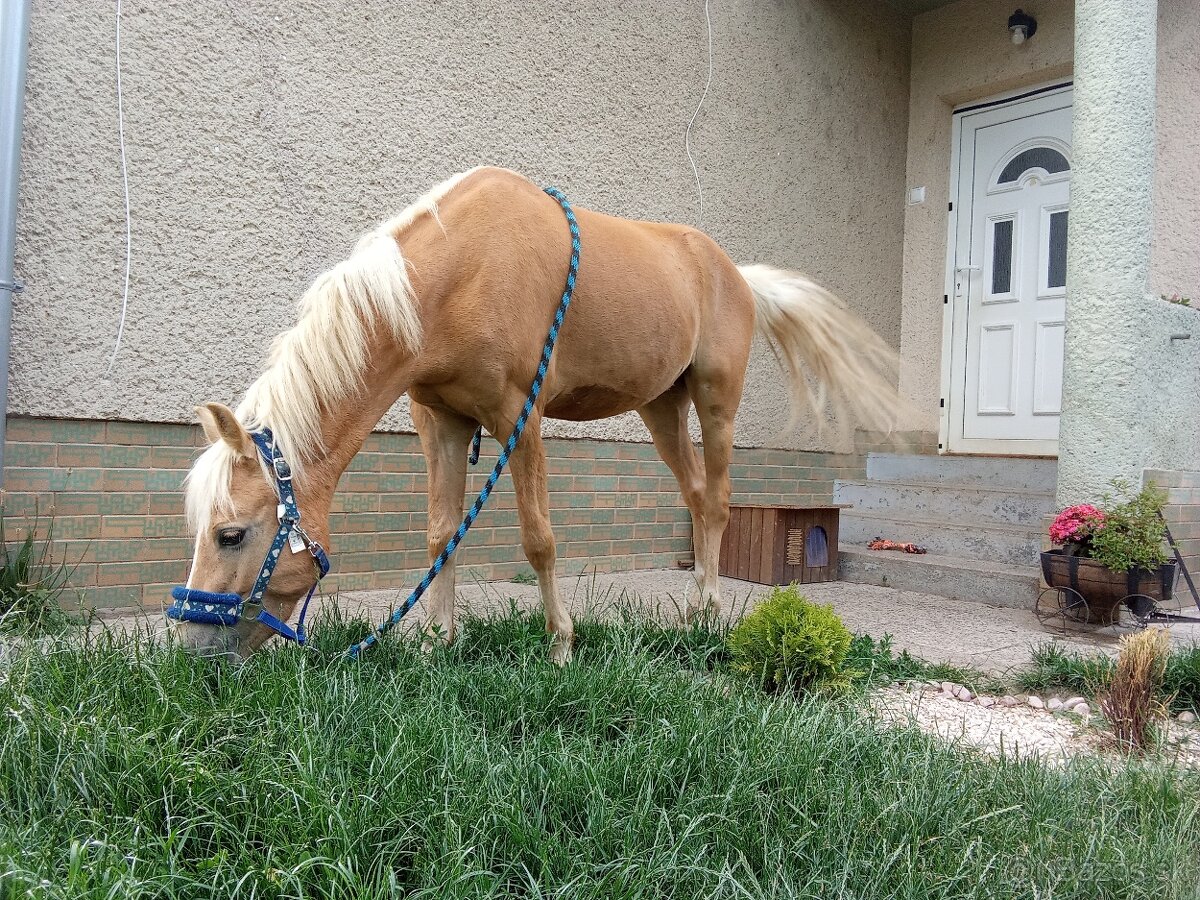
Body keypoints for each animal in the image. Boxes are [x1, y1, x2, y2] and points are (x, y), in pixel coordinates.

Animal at [176, 166, 900, 663]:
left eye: (231, 534)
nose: (191, 651)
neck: (461, 271)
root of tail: (738, 274)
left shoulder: (517, 419)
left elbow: (539, 539)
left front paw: (560, 644)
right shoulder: (441, 422)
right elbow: (441, 534)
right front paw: (437, 642)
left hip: (716, 398)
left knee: (718, 500)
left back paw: (713, 608)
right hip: (661, 407)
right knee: (695, 495)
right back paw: (694, 608)